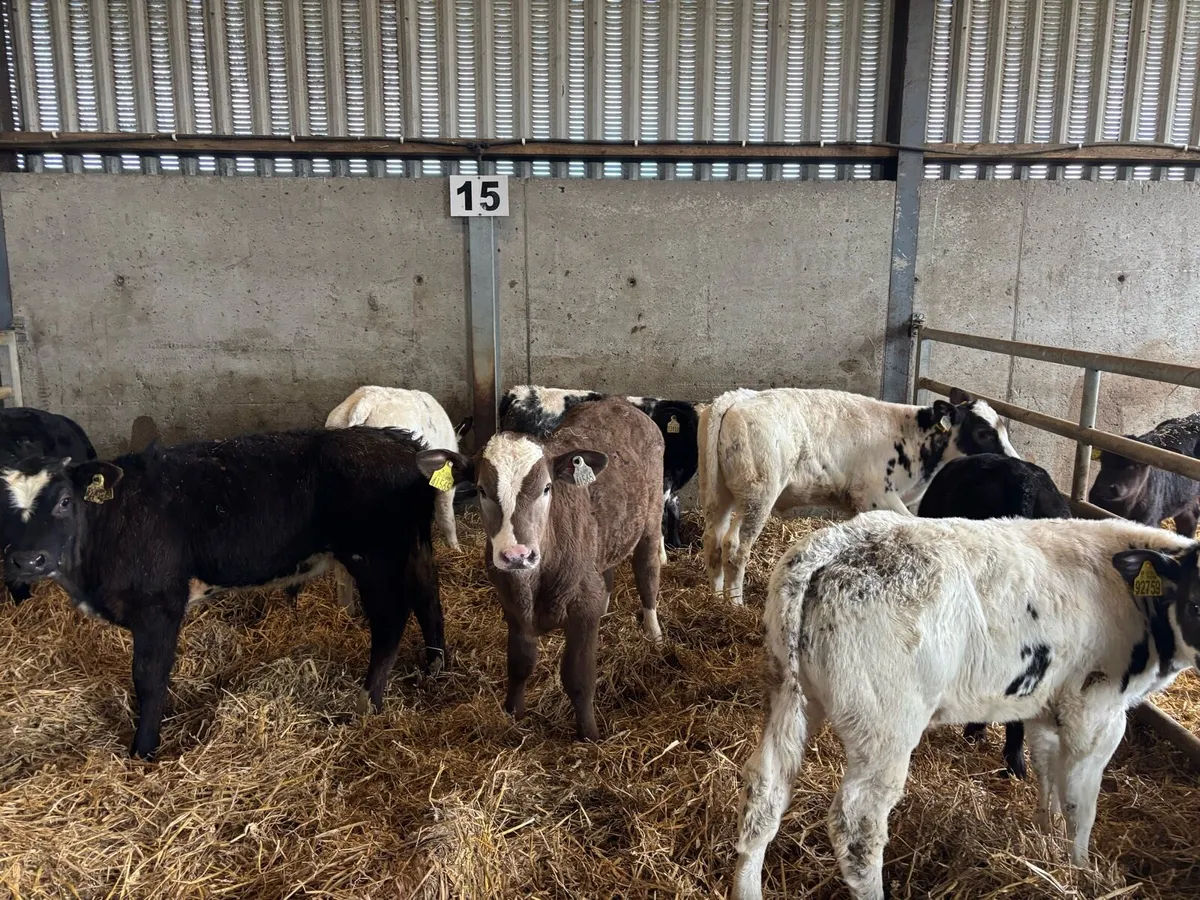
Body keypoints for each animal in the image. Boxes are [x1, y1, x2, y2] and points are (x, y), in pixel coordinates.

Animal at [2, 427, 458, 759]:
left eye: (65, 500)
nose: (27, 560)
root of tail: (397, 442)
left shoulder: (159, 605)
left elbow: (149, 677)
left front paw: (143, 750)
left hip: (374, 557)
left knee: (390, 621)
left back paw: (367, 702)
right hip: (413, 547)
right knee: (429, 598)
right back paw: (436, 667)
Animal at [453, 397, 665, 741]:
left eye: (547, 488)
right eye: (482, 490)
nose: (516, 554)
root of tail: (619, 402)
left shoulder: (582, 607)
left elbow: (578, 677)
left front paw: (589, 734)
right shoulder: (511, 601)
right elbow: (520, 663)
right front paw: (512, 714)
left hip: (650, 517)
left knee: (646, 573)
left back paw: (654, 633)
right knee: (607, 572)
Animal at [701, 386, 1018, 603]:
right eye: (983, 433)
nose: (1015, 461)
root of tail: (738, 398)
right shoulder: (877, 496)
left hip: (721, 494)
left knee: (713, 539)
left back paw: (715, 598)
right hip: (759, 495)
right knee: (735, 546)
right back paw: (735, 603)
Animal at [733, 512, 1200, 900]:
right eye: (1195, 602)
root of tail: (834, 542)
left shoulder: (1045, 708)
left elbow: (1048, 777)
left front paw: (1045, 842)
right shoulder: (1096, 712)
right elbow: (1079, 802)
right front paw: (1080, 870)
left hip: (788, 694)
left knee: (764, 792)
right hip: (885, 727)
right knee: (858, 824)